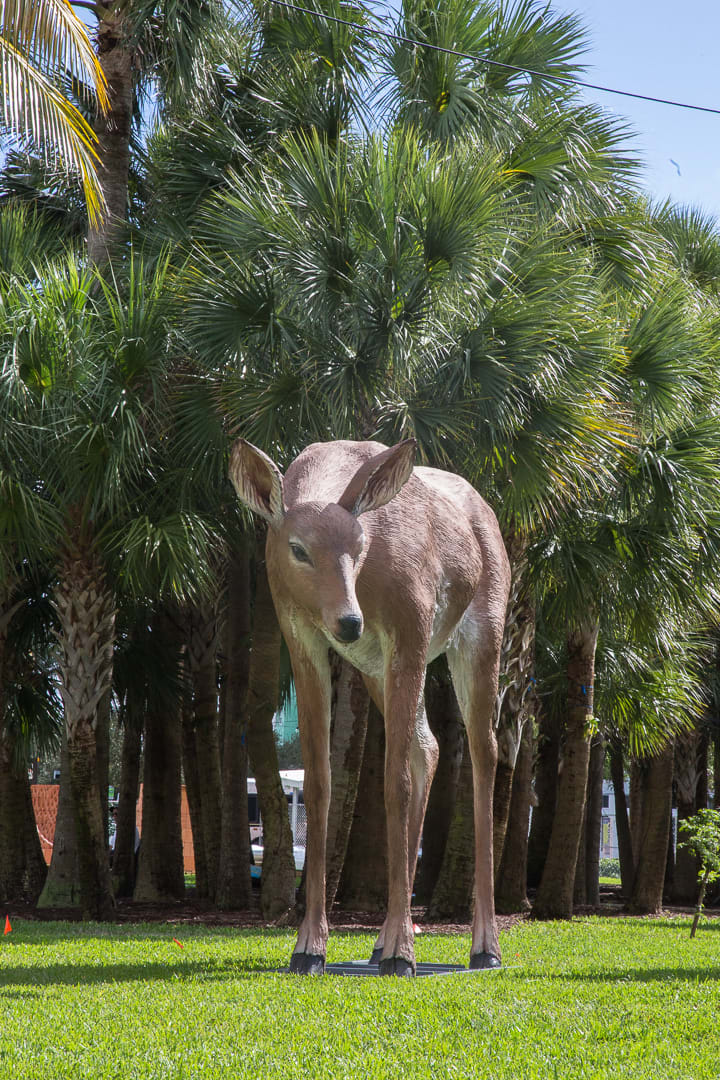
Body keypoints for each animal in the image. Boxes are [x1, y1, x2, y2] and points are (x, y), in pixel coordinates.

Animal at [229, 437, 510, 976]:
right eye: (298, 549)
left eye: (359, 547)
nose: (349, 621)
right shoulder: (301, 634)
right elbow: (320, 784)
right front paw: (308, 948)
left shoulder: (411, 628)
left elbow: (392, 783)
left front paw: (404, 953)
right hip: (375, 668)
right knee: (429, 746)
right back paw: (380, 944)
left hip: (482, 631)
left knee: (484, 750)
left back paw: (483, 947)